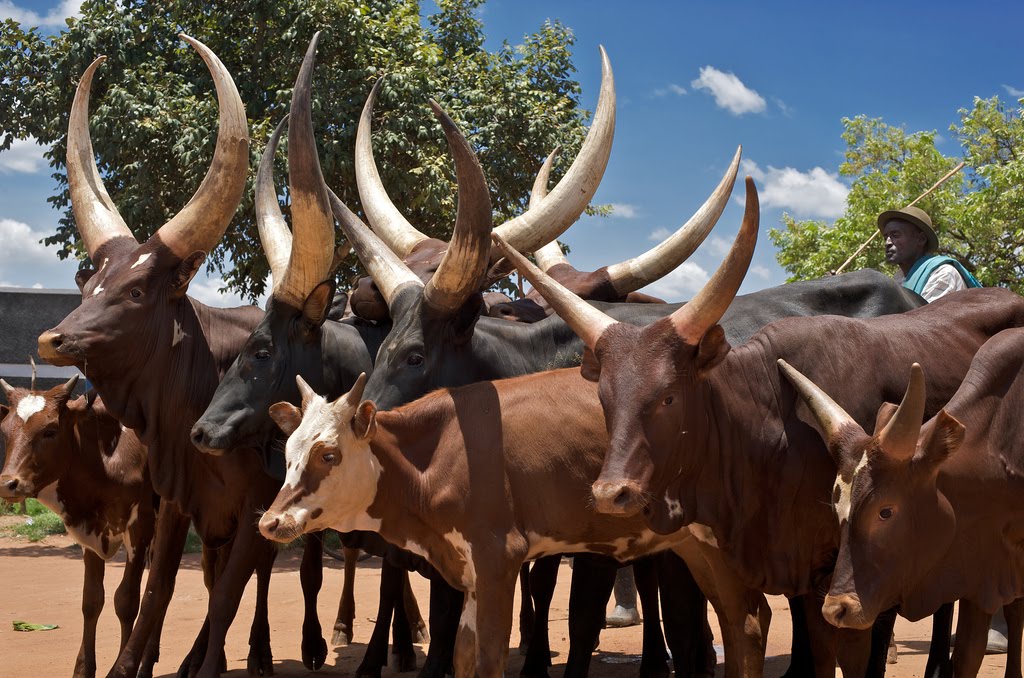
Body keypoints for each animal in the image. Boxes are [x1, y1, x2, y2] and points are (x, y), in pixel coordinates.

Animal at [0, 376, 155, 678]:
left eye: (50, 430)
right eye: (4, 431)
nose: (7, 484)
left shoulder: (140, 529)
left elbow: (127, 601)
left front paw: (121, 665)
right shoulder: (90, 536)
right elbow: (91, 601)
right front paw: (83, 669)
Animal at [34, 37, 331, 678]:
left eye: (136, 292)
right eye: (90, 284)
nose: (52, 341)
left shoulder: (255, 505)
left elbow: (227, 597)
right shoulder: (175, 500)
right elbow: (158, 591)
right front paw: (132, 667)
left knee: (300, 571)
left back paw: (308, 644)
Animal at [258, 368, 753, 678]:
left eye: (329, 454)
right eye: (289, 451)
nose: (270, 521)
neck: (439, 450)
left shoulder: (499, 558)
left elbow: (490, 659)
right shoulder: (472, 573)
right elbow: (462, 656)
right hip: (697, 546)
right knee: (742, 621)